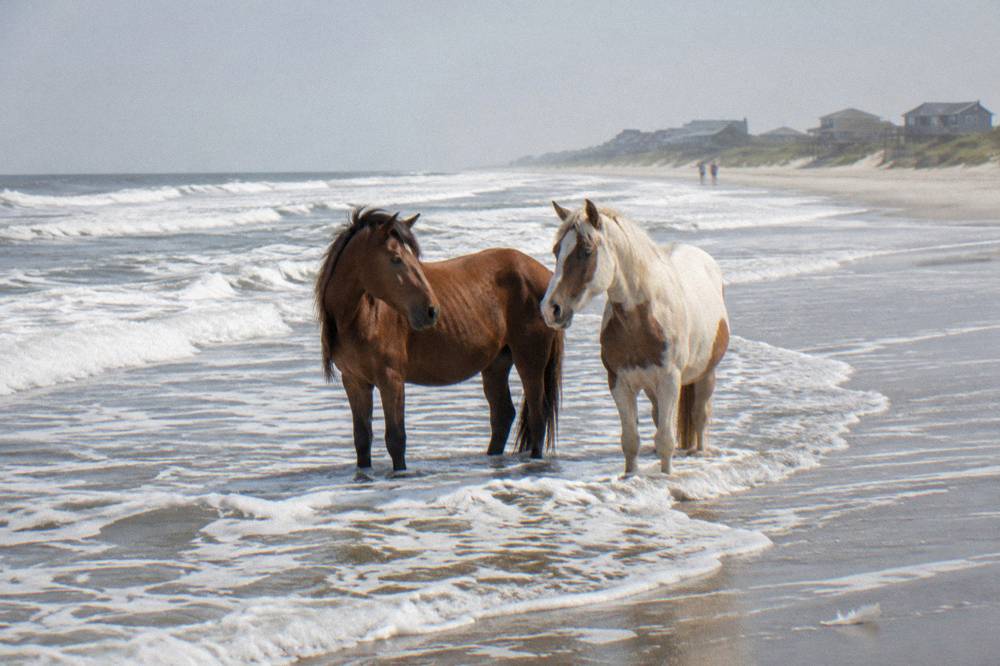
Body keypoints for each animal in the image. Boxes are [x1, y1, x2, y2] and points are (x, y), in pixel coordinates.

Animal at [315, 206, 563, 472]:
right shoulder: (354, 381)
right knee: (503, 416)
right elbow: (362, 439)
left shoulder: (391, 379)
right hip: (497, 363)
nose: (431, 311)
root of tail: (546, 278)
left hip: (530, 361)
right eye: (396, 258)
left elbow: (396, 439)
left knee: (537, 417)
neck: (360, 318)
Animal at [540, 199, 729, 476]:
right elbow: (630, 441)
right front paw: (631, 476)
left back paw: (700, 452)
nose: (550, 309)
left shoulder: (670, 380)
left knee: (700, 416)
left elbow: (666, 440)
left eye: (586, 250)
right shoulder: (620, 383)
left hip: (706, 373)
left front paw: (666, 476)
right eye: (556, 251)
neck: (642, 319)